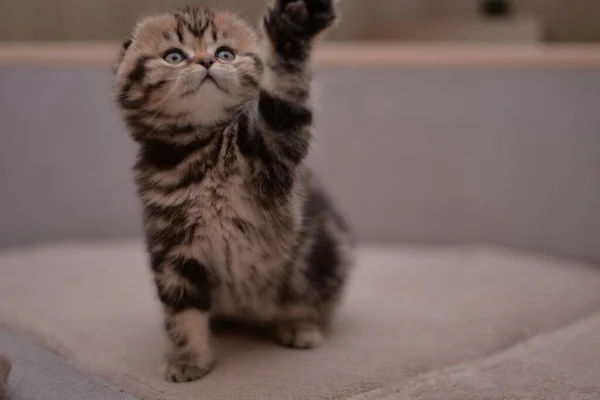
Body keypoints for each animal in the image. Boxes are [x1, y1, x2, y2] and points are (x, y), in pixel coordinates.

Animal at [112, 0, 352, 382]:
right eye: (174, 56)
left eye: (225, 53)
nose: (207, 62)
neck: (205, 147)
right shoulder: (173, 247)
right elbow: (181, 308)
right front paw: (188, 359)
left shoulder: (275, 149)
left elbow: (285, 97)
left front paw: (292, 31)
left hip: (318, 254)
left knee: (309, 296)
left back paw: (299, 325)